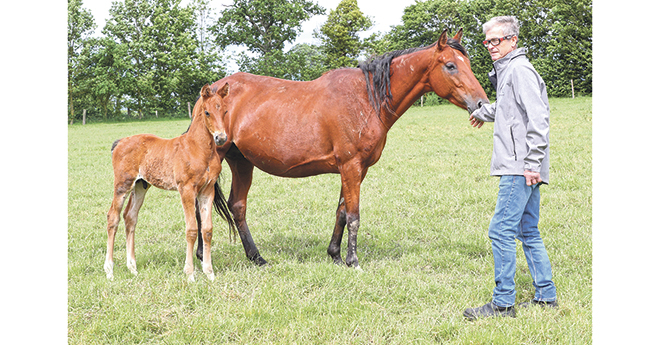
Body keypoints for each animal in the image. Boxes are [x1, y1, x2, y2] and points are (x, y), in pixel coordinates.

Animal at [104, 82, 233, 280]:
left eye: (225, 111)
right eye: (207, 112)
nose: (221, 138)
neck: (198, 148)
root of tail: (119, 142)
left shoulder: (207, 190)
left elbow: (207, 229)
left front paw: (209, 273)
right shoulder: (186, 189)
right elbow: (192, 229)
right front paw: (190, 274)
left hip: (140, 186)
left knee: (130, 217)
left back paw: (132, 268)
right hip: (122, 184)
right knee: (113, 217)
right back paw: (109, 271)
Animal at [196, 28, 490, 268]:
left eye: (468, 63)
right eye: (450, 65)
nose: (482, 104)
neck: (366, 99)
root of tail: (210, 93)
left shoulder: (355, 170)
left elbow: (341, 212)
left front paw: (335, 255)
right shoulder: (351, 166)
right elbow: (353, 215)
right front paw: (353, 260)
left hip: (241, 162)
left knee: (237, 206)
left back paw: (256, 257)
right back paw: (202, 255)